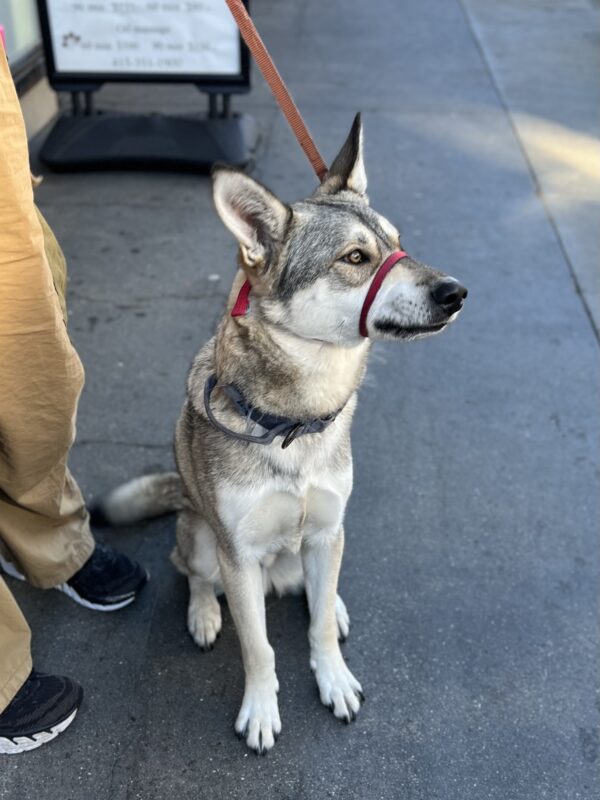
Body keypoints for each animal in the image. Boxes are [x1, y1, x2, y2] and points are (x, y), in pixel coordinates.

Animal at [94, 115, 468, 752]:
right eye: (355, 257)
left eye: (398, 244)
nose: (456, 292)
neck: (296, 421)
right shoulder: (238, 556)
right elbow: (258, 648)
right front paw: (261, 709)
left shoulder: (325, 529)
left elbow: (316, 630)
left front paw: (333, 678)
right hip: (201, 539)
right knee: (188, 571)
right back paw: (203, 614)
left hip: (320, 542)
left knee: (314, 591)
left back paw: (331, 603)